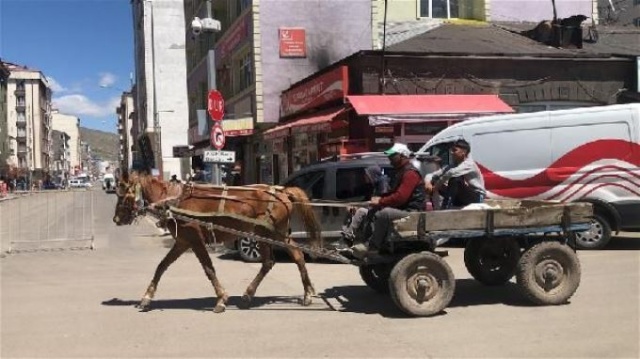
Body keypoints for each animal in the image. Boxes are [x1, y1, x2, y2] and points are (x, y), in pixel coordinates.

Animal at [113, 173, 322, 314]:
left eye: (123, 193)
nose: (116, 219)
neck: (175, 200)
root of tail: (283, 191)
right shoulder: (182, 242)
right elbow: (161, 266)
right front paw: (146, 298)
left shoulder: (195, 240)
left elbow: (208, 269)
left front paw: (221, 299)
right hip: (272, 233)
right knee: (292, 255)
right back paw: (303, 292)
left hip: (268, 233)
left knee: (278, 259)